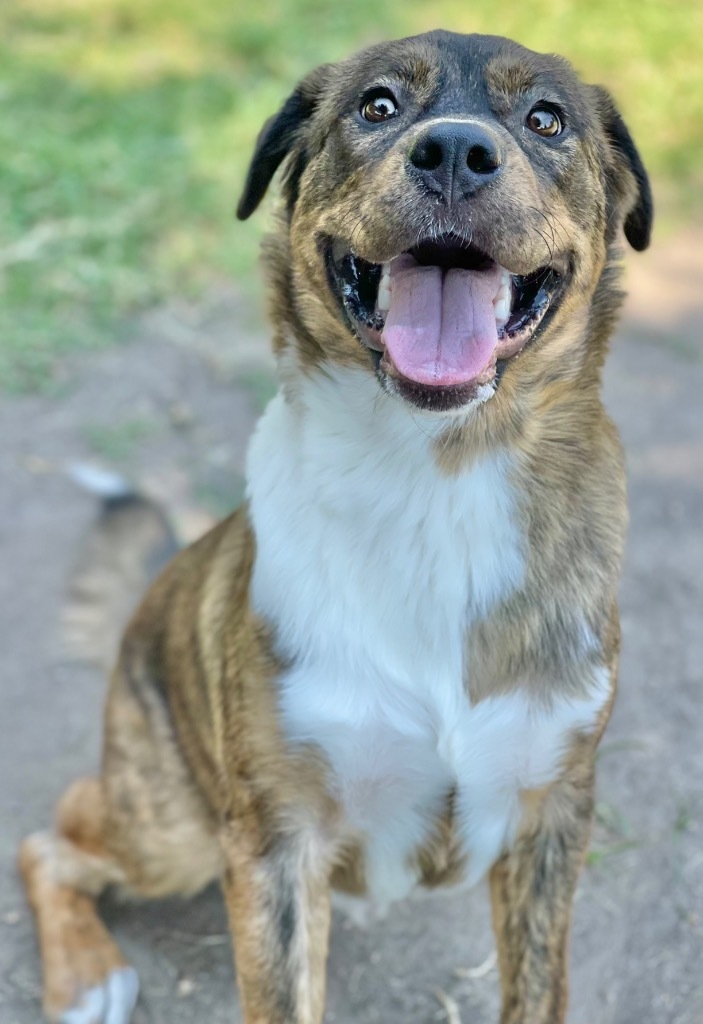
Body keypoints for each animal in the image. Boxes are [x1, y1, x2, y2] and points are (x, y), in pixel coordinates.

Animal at [17, 28, 654, 1024]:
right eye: (377, 105)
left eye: (545, 119)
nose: (455, 152)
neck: (435, 477)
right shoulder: (274, 841)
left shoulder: (551, 814)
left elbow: (537, 990)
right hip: (173, 827)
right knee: (52, 842)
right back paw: (88, 974)